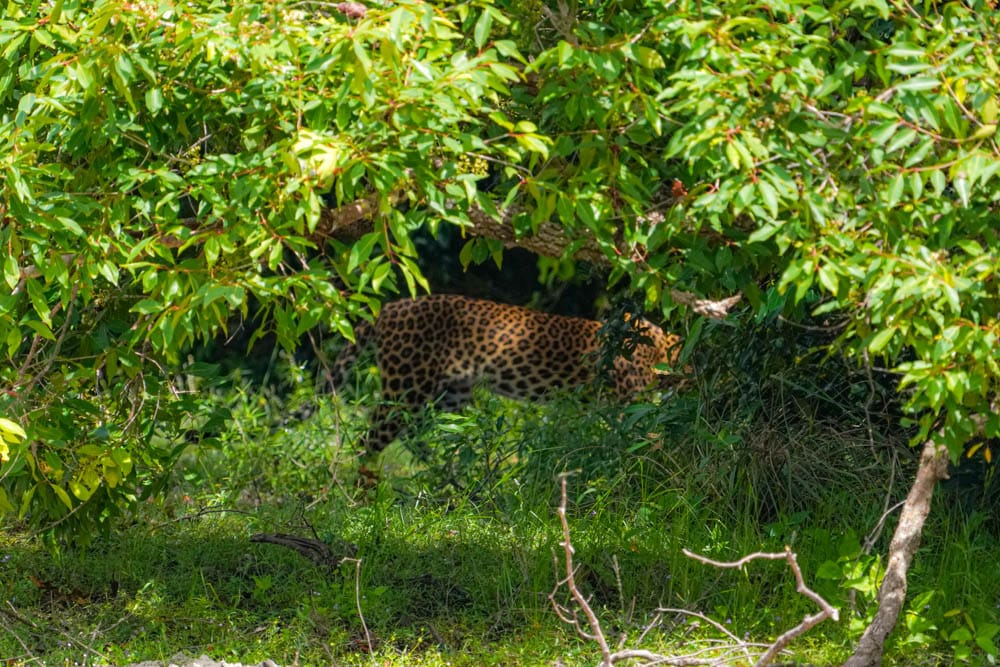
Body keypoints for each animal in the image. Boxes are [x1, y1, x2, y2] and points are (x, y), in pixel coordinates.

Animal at [334, 296, 680, 454]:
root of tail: (387, 307)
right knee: (370, 441)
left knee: (424, 436)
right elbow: (644, 435)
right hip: (406, 386)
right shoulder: (627, 401)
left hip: (450, 396)